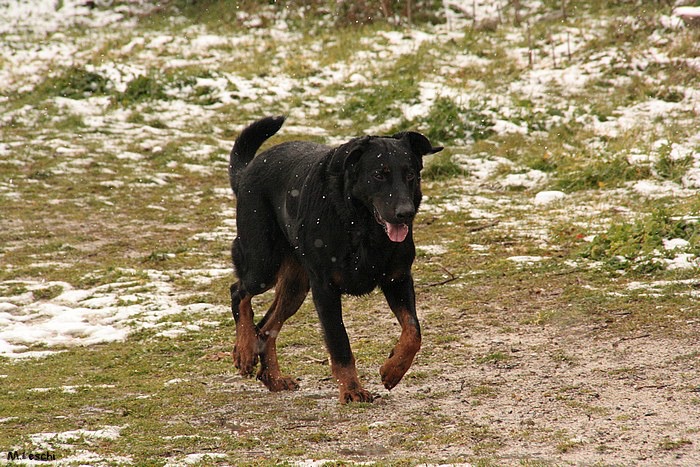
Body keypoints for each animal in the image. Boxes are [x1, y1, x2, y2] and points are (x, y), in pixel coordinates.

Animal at [227, 116, 440, 402]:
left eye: (410, 175)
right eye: (379, 174)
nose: (405, 213)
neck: (361, 226)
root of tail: (247, 170)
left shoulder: (398, 279)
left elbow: (413, 331)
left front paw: (393, 369)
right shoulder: (325, 288)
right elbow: (340, 342)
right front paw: (352, 389)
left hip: (296, 286)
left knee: (266, 326)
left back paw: (273, 377)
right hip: (263, 264)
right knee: (239, 291)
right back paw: (244, 350)